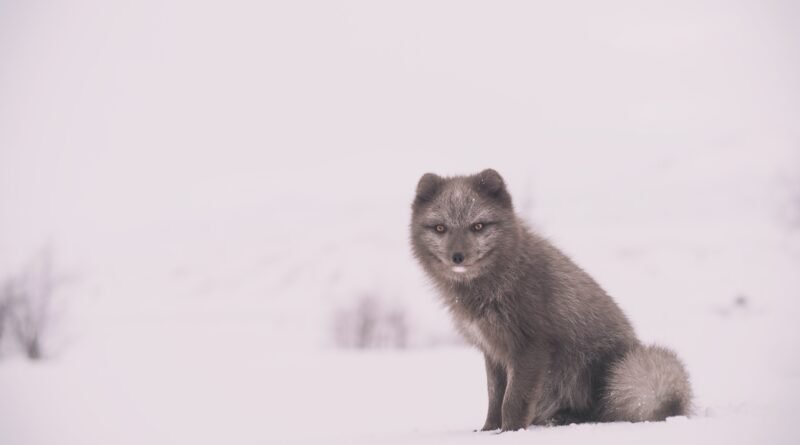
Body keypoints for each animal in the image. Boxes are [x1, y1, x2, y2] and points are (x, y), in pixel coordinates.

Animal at [410, 169, 692, 431]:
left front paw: (509, 432)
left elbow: (512, 400)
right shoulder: (493, 350)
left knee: (602, 411)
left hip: (607, 370)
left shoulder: (532, 346)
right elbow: (494, 397)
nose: (458, 256)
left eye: (477, 226)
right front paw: (488, 430)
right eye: (440, 228)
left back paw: (567, 418)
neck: (502, 280)